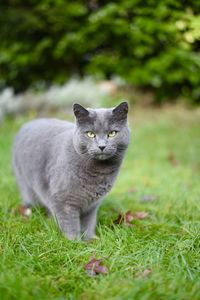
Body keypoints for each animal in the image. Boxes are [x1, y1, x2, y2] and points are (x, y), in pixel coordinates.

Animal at [12, 102, 131, 240]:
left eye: (112, 133)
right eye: (90, 134)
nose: (102, 146)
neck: (99, 172)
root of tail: (26, 124)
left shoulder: (92, 206)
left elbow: (89, 223)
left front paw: (91, 240)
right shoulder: (63, 201)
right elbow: (70, 225)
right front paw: (75, 243)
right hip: (26, 186)